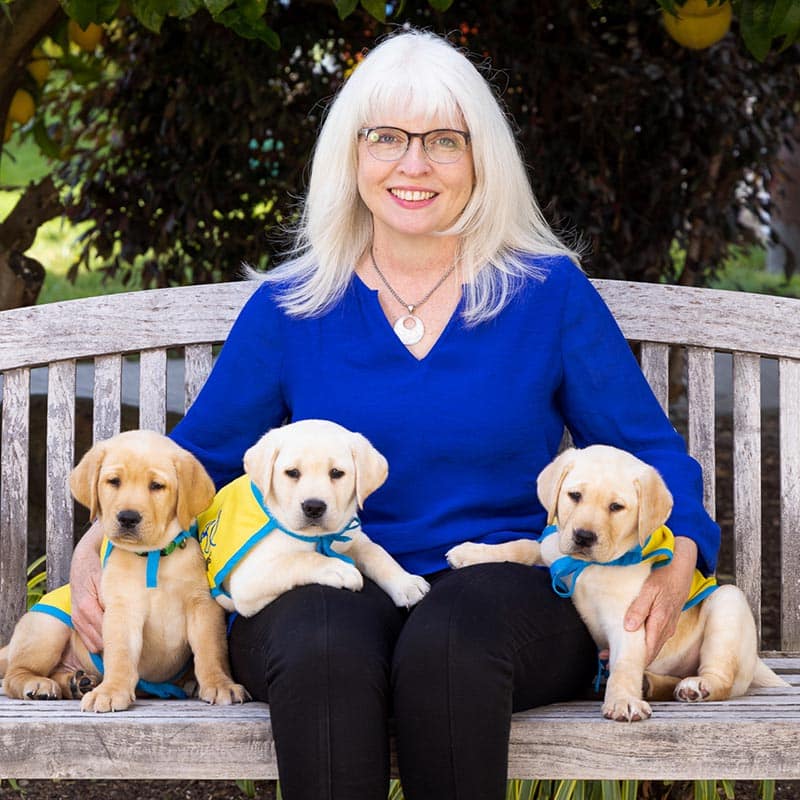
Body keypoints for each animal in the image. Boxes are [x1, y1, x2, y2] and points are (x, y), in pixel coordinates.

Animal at [0, 432, 248, 712]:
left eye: (157, 486)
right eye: (114, 481)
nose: (128, 517)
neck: (153, 555)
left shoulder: (202, 605)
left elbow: (210, 650)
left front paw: (220, 683)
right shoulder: (122, 609)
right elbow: (120, 655)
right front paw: (111, 691)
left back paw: (78, 682)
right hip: (48, 627)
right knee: (13, 675)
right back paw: (41, 683)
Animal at [198, 418, 432, 620]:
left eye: (336, 473)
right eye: (292, 472)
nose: (313, 507)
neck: (317, 536)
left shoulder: (351, 536)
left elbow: (376, 552)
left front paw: (406, 582)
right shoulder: (249, 579)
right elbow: (301, 558)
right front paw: (337, 568)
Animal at [446, 444, 784, 724]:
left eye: (616, 507)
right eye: (574, 496)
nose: (583, 536)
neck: (590, 567)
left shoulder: (630, 623)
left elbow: (625, 665)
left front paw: (623, 701)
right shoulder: (554, 549)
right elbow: (522, 546)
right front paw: (471, 552)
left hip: (728, 603)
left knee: (721, 677)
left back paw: (698, 686)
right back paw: (652, 683)